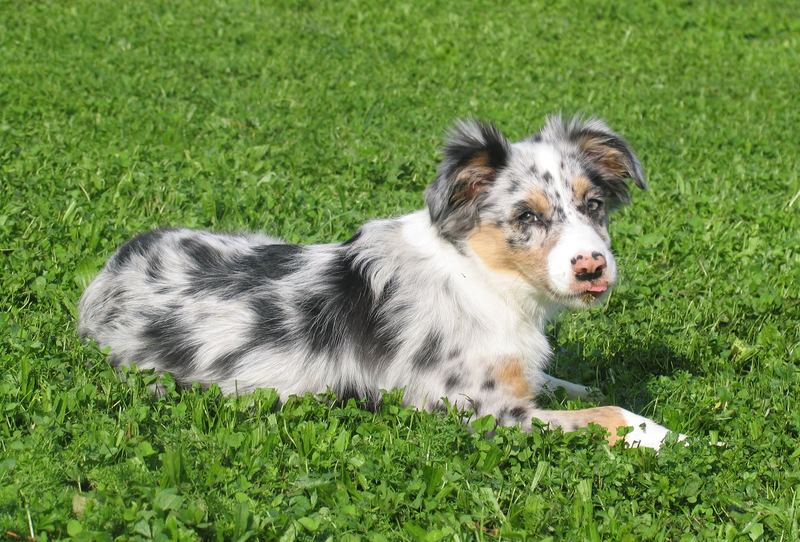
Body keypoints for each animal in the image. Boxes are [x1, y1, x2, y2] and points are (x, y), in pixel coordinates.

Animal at [78, 117, 684, 452]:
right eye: (526, 217)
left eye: (594, 205)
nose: (592, 266)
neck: (481, 277)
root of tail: (110, 271)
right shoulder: (479, 411)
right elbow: (610, 415)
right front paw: (674, 438)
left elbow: (569, 385)